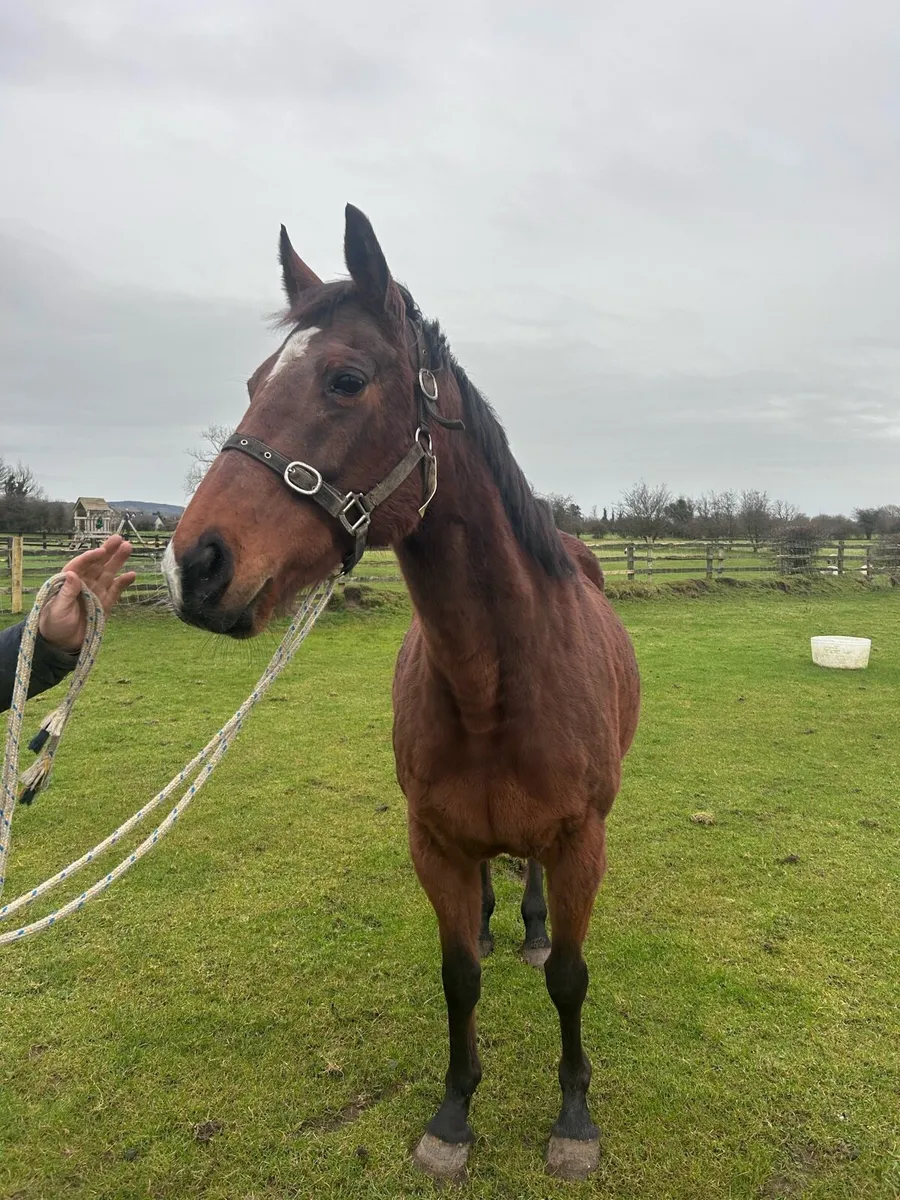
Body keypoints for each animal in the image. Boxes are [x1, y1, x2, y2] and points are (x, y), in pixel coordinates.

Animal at [163, 204, 640, 1181]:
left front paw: (574, 1117)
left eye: (346, 380)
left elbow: (571, 976)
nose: (194, 566)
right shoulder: (435, 842)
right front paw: (453, 1115)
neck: (495, 683)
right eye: (253, 381)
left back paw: (530, 926)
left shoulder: (582, 843)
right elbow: (457, 976)